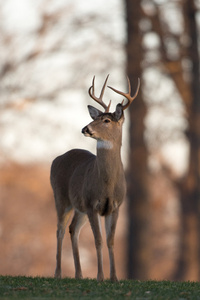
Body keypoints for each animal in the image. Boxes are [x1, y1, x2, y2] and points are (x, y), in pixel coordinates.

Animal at [50, 75, 139, 282]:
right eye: (95, 118)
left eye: (106, 120)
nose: (85, 128)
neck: (107, 184)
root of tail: (56, 159)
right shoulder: (92, 204)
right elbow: (98, 240)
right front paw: (100, 276)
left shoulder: (115, 206)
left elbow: (110, 241)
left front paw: (114, 277)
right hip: (61, 198)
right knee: (59, 230)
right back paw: (58, 273)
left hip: (79, 207)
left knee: (73, 229)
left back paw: (79, 274)